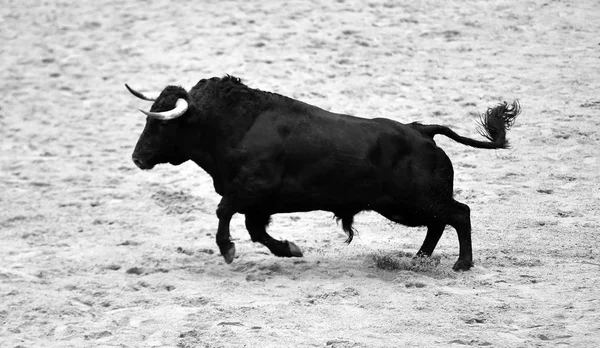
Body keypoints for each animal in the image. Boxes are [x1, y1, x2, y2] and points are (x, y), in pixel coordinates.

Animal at [126, 75, 520, 272]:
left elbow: (224, 213)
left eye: (161, 124)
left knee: (459, 214)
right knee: (441, 222)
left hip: (412, 202)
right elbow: (256, 230)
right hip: (409, 205)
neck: (234, 124)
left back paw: (461, 264)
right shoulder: (258, 203)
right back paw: (419, 258)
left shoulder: (249, 191)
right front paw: (289, 249)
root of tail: (421, 130)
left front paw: (227, 250)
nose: (137, 158)